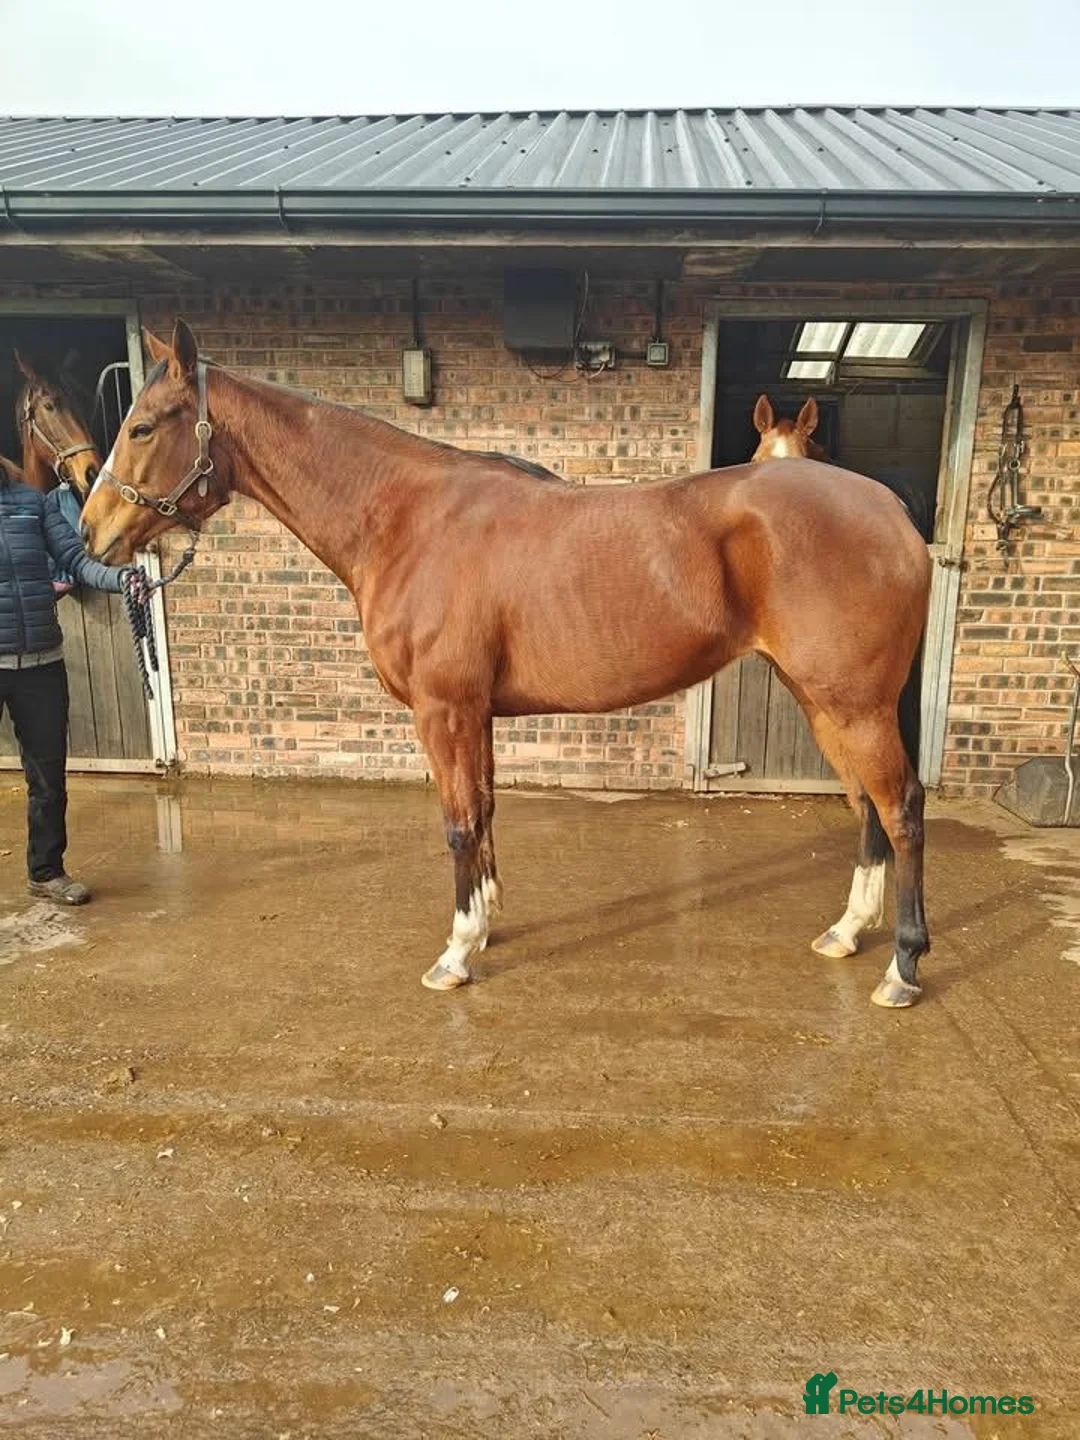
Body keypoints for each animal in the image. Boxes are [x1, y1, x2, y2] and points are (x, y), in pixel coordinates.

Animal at [80, 320, 932, 1010]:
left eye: (144, 426)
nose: (92, 533)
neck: (405, 519)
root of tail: (893, 514)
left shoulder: (444, 709)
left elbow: (459, 824)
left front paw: (455, 954)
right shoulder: (476, 712)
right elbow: (484, 812)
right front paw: (484, 927)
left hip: (852, 703)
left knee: (901, 809)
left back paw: (903, 968)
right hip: (821, 700)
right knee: (866, 806)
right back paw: (846, 933)